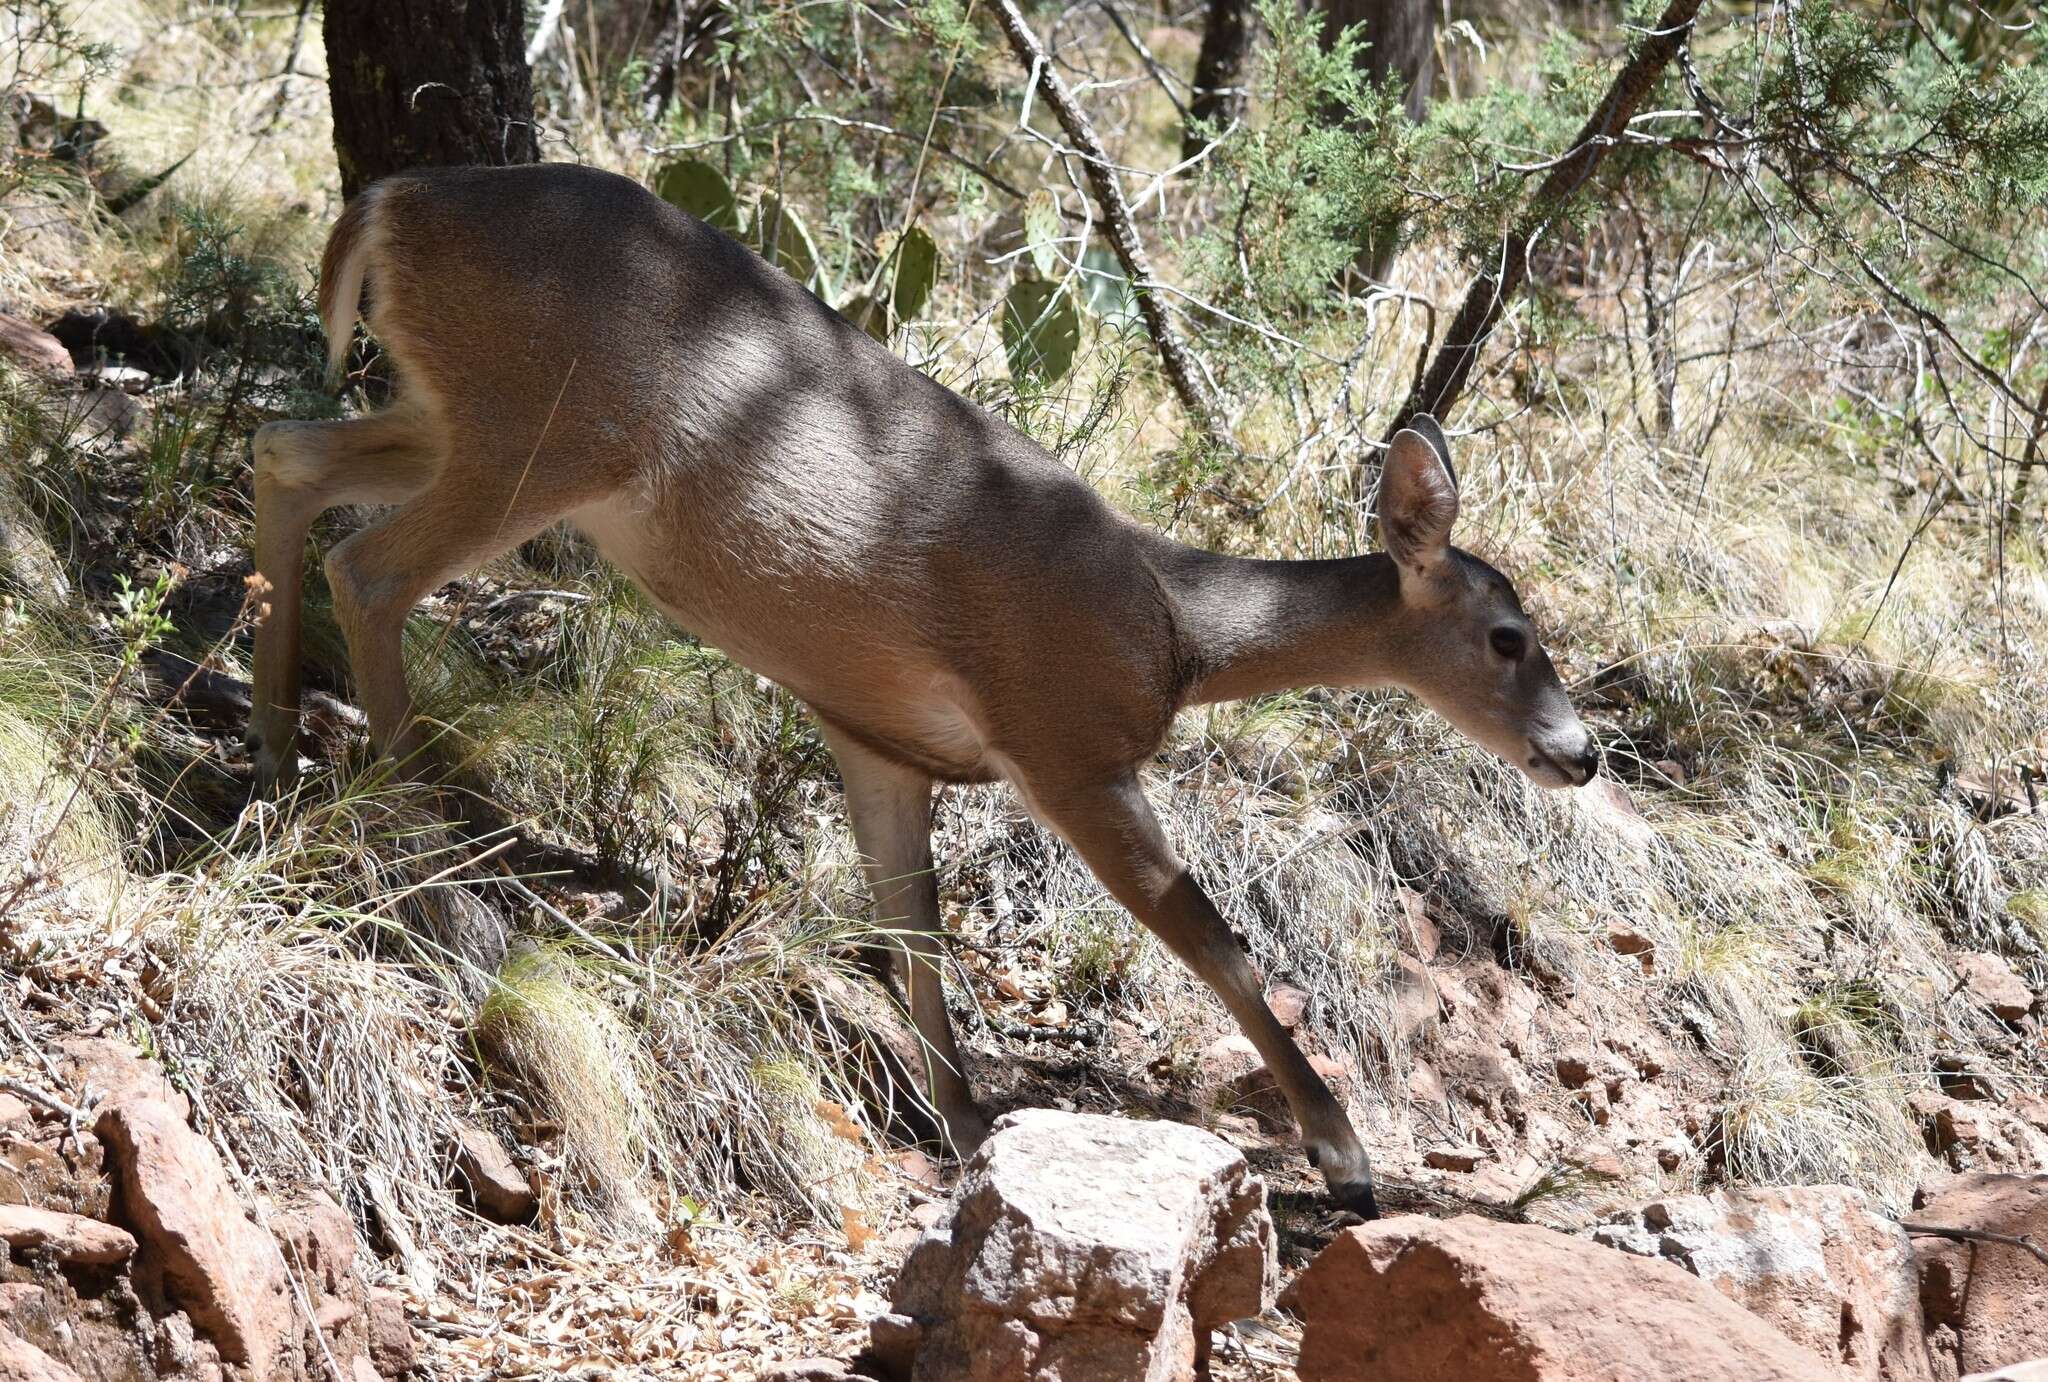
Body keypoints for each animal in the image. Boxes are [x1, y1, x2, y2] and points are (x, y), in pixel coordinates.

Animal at [247, 164, 1597, 1220]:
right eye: (1507, 636)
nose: (1580, 752)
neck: (1176, 626)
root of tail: (388, 199)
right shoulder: (1065, 738)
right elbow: (1211, 937)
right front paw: (1344, 1155)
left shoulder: (879, 737)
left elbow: (913, 934)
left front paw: (963, 1125)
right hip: (541, 426)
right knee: (369, 565)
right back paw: (422, 837)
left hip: (451, 410)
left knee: (288, 454)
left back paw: (273, 755)